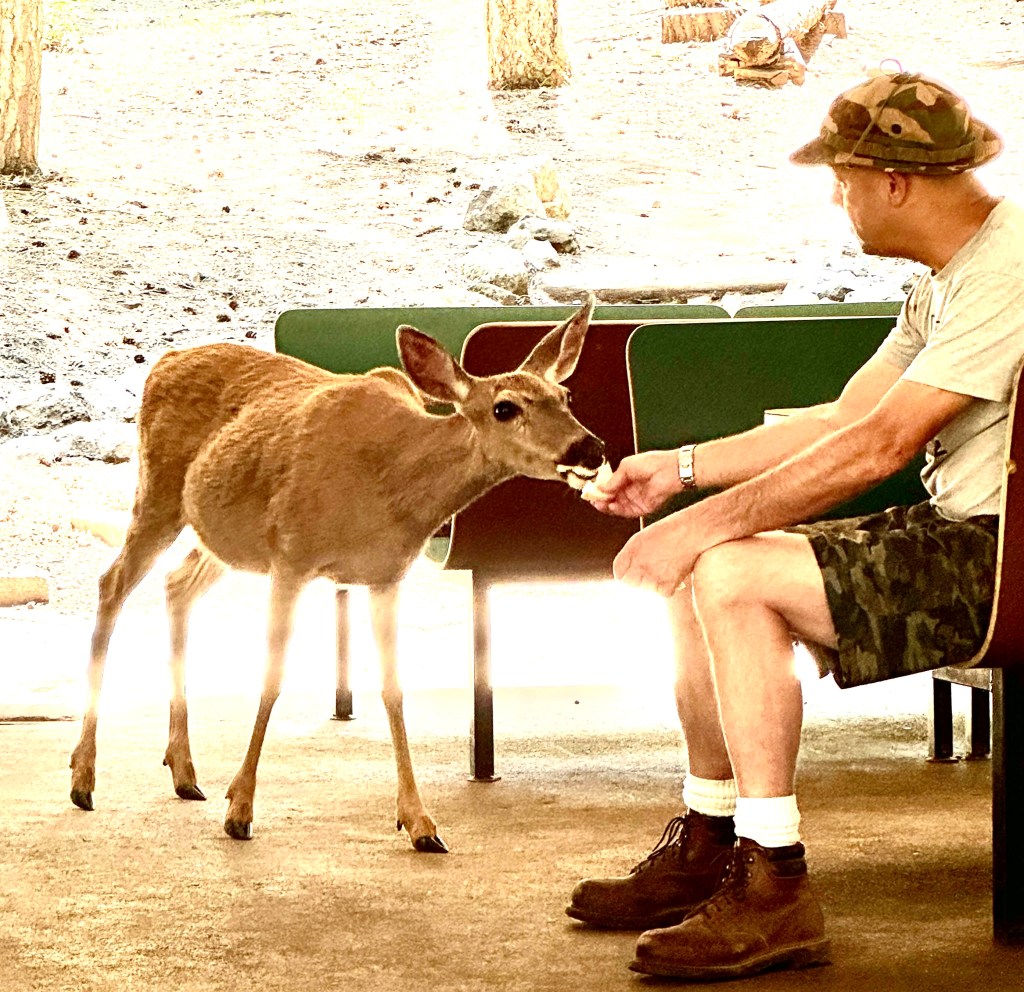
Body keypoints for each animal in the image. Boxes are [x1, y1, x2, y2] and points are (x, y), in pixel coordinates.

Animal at [69, 295, 606, 853]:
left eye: (565, 395)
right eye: (505, 407)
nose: (590, 449)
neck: (389, 483)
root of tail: (164, 360)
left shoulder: (385, 574)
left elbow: (393, 689)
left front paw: (420, 823)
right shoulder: (292, 555)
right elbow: (272, 677)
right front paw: (240, 809)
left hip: (223, 537)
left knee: (177, 584)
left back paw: (184, 772)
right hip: (159, 491)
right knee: (113, 584)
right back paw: (84, 778)